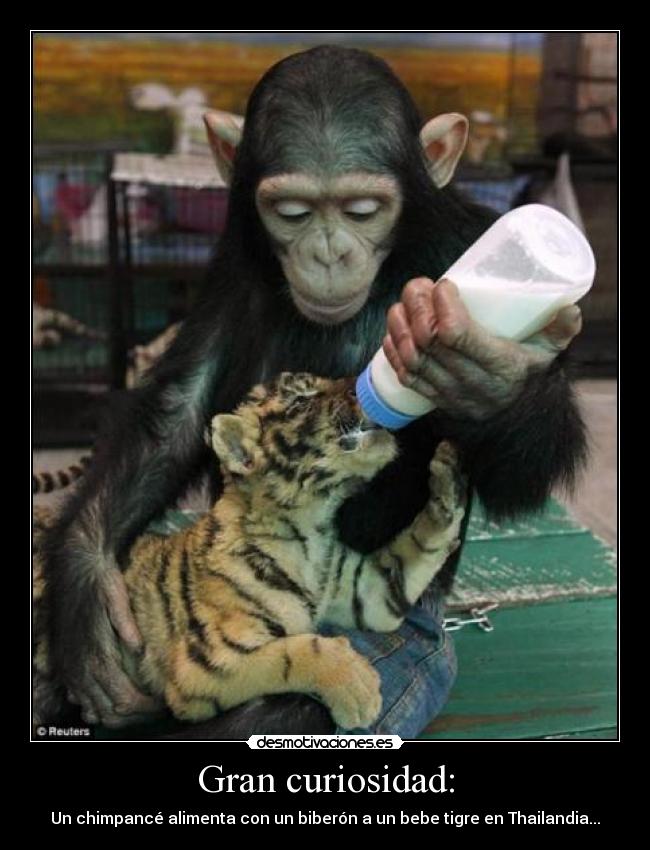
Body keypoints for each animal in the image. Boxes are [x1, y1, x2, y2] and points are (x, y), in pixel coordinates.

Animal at [33, 372, 466, 731]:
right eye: (300, 402)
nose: (357, 387)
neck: (312, 529)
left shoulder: (370, 592)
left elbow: (419, 544)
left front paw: (449, 475)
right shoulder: (207, 664)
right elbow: (296, 651)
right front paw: (355, 684)